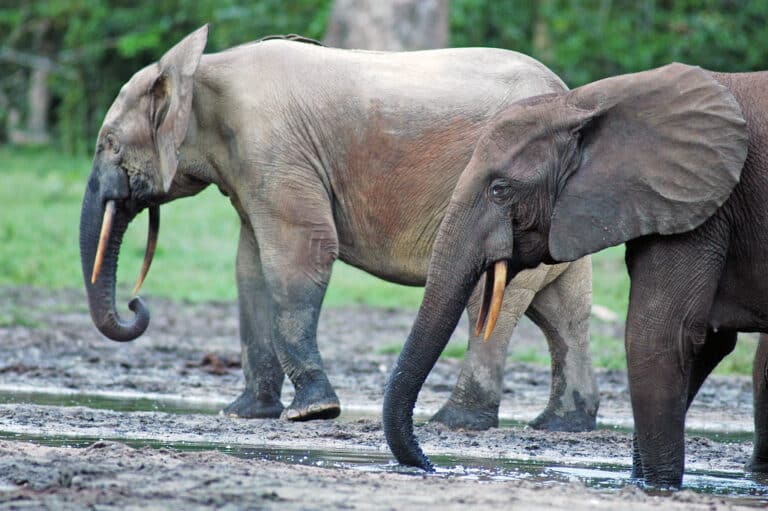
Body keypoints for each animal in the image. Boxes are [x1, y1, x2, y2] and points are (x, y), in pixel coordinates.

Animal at [79, 25, 599, 431]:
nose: (135, 304)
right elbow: (250, 268)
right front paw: (244, 414)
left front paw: (312, 413)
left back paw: (456, 422)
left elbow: (298, 255)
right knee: (562, 314)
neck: (201, 71)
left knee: (493, 302)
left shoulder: (274, 149)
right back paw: (561, 424)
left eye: (109, 144)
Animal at [382, 61, 768, 488]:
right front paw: (646, 481)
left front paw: (657, 486)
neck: (585, 103)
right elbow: (707, 342)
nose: (430, 464)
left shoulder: (703, 207)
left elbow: (662, 335)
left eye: (500, 190)